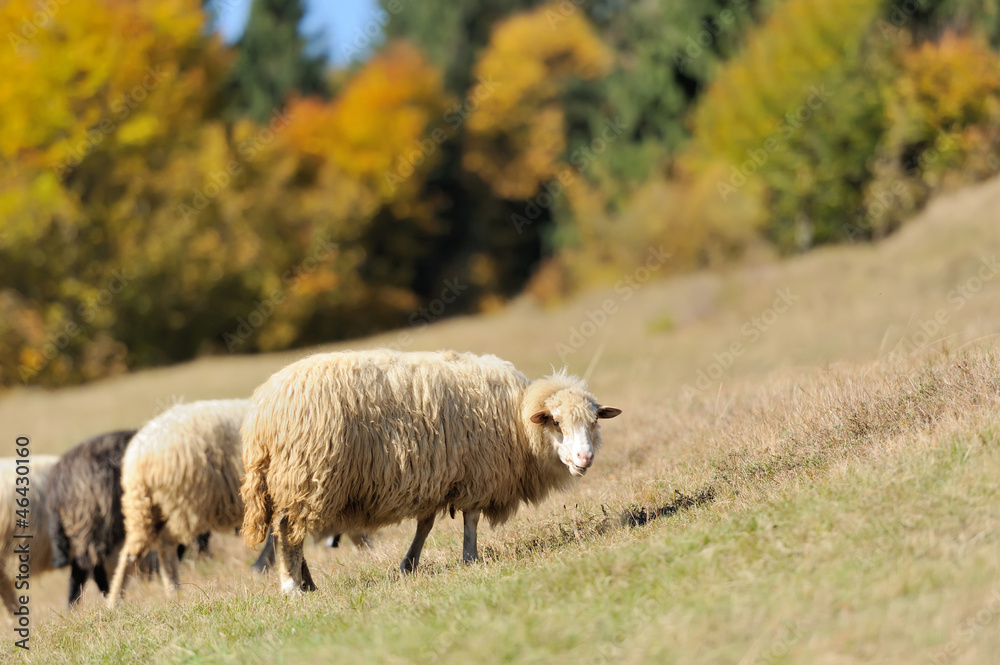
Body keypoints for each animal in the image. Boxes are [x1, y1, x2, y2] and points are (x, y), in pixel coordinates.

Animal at [106, 396, 249, 604]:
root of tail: (138, 454)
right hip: (187, 503)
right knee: (165, 544)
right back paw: (172, 591)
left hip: (143, 507)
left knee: (132, 552)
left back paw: (117, 601)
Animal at [240, 348, 616, 592]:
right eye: (556, 423)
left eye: (594, 422)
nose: (584, 458)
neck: (518, 419)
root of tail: (263, 411)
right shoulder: (476, 474)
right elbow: (470, 520)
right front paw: (469, 558)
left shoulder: (438, 477)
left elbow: (426, 524)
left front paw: (409, 565)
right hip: (307, 474)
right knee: (288, 532)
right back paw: (292, 587)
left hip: (294, 482)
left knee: (289, 531)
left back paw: (308, 584)